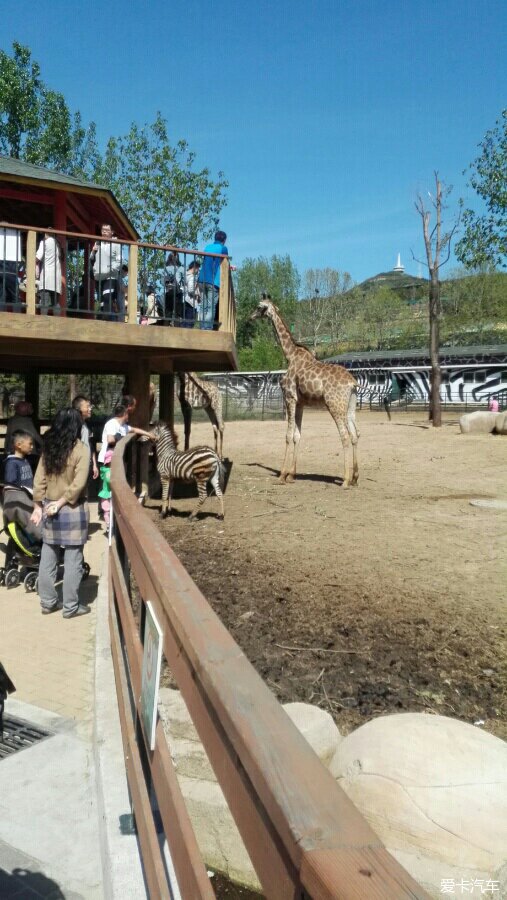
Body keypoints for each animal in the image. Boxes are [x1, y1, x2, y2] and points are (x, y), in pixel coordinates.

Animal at [252, 296, 360, 486]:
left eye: (259, 307)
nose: (250, 316)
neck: (290, 355)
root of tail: (352, 383)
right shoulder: (301, 403)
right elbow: (297, 435)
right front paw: (291, 475)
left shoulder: (289, 397)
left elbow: (288, 436)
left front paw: (281, 475)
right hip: (350, 406)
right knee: (355, 435)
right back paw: (354, 477)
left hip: (335, 405)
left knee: (345, 436)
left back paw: (345, 481)